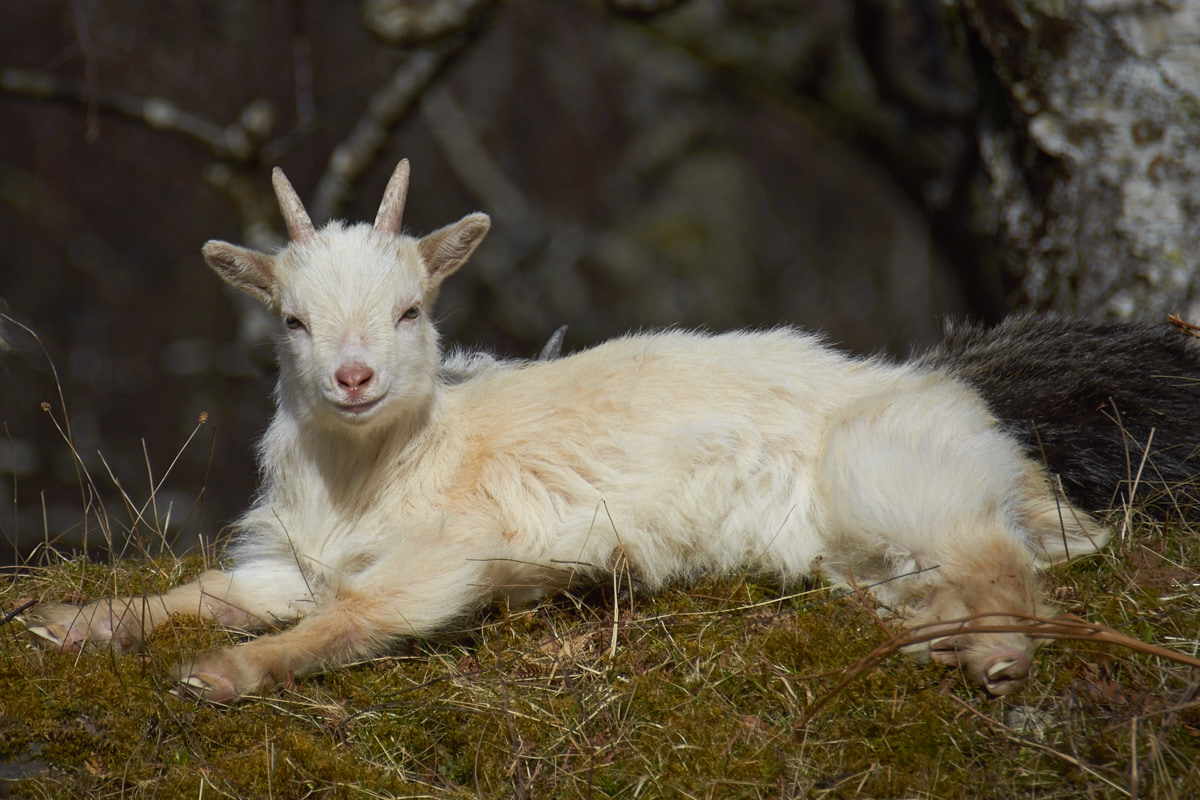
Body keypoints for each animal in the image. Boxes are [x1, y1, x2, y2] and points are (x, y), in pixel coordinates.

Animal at [25, 160, 1110, 702]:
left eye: (411, 308)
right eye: (291, 319)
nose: (353, 376)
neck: (385, 467)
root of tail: (991, 439)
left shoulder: (452, 554)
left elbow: (355, 615)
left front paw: (222, 675)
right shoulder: (291, 559)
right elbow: (204, 592)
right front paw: (68, 623)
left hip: (896, 478)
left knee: (1007, 568)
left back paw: (997, 659)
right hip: (862, 550)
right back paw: (943, 641)